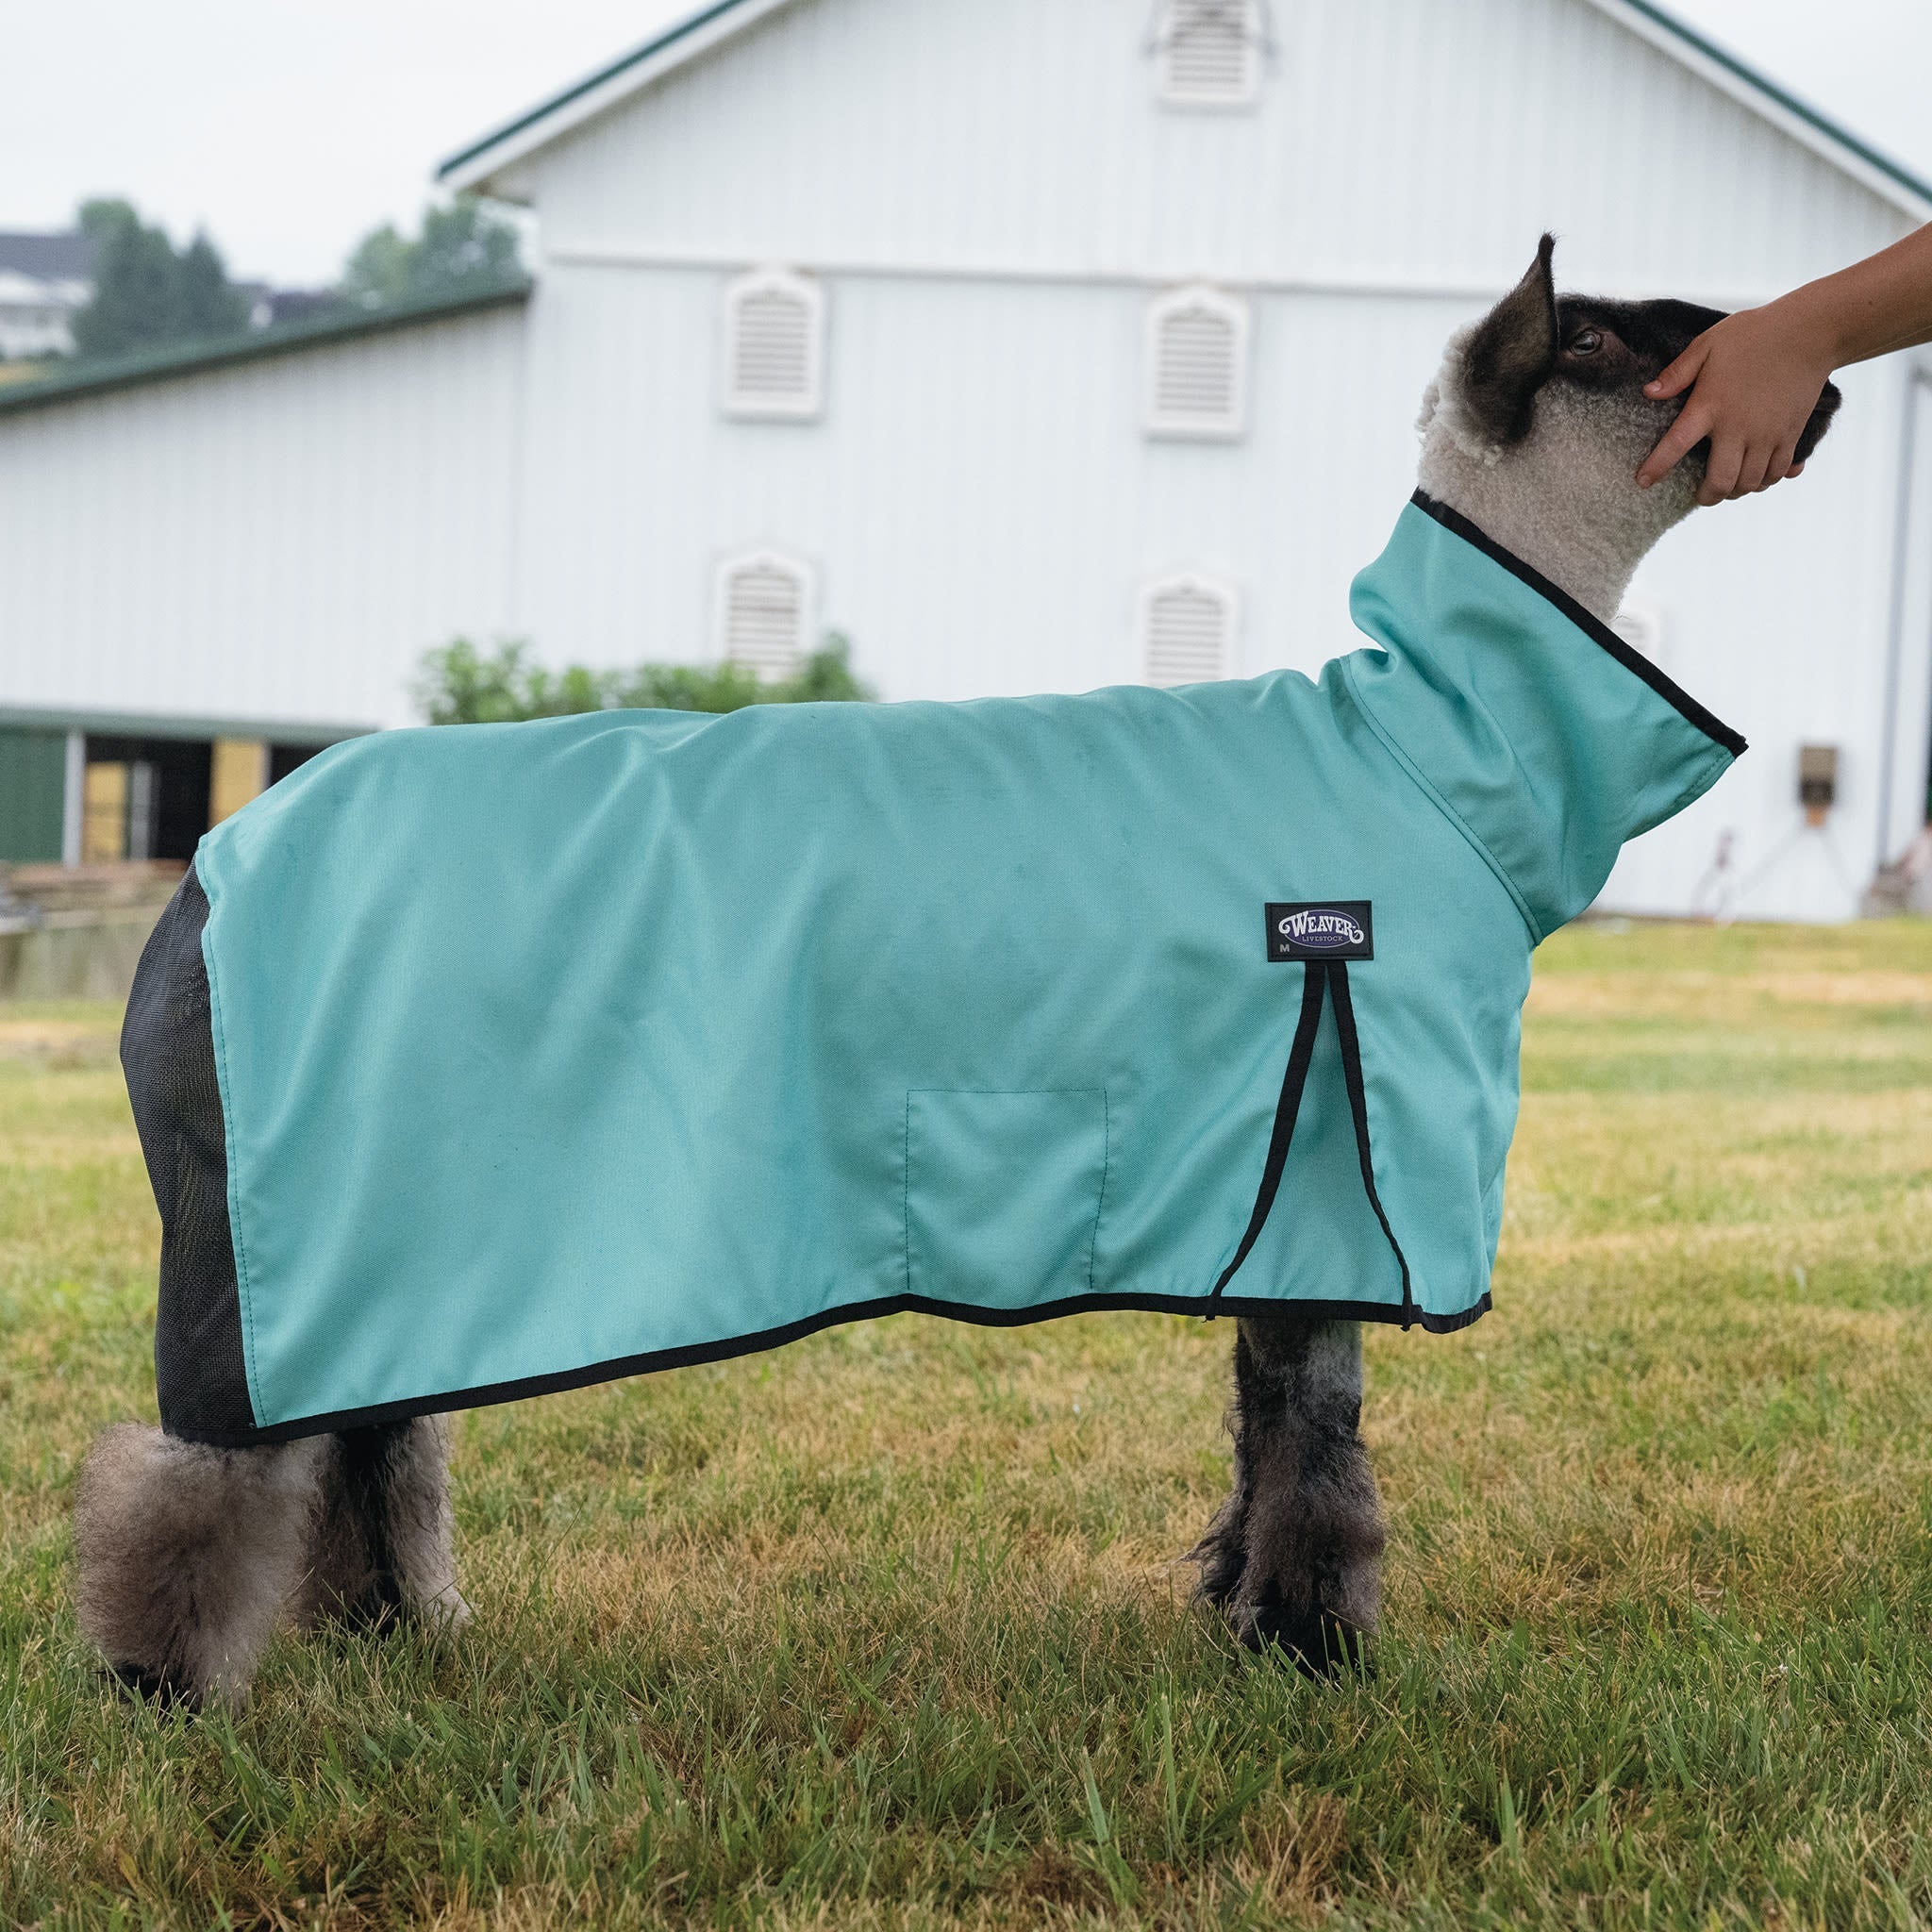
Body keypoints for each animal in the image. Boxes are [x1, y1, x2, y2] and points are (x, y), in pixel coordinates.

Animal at [74, 237, 1841, 1701]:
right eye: (1605, 334)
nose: (1816, 385)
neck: (1427, 740)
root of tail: (201, 887)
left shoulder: (1273, 1193)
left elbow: (1261, 1423)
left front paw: (1243, 1624)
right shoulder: (1343, 1172)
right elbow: (1321, 1451)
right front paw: (1318, 1653)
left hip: (387, 1221)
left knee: (370, 1434)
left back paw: (398, 1626)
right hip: (269, 1216)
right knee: (209, 1466)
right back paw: (166, 1680)